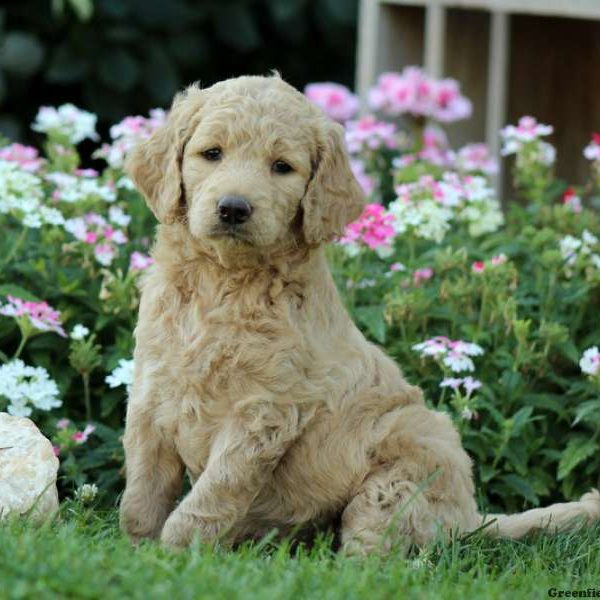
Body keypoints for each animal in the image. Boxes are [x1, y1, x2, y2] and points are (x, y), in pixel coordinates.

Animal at [118, 75, 600, 552]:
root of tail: (468, 516)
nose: (234, 208)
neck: (222, 283)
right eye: (212, 153)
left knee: (377, 554)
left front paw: (177, 554)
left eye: (282, 167)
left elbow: (212, 495)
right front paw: (137, 551)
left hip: (402, 473)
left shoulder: (262, 413)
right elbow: (142, 491)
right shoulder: (151, 391)